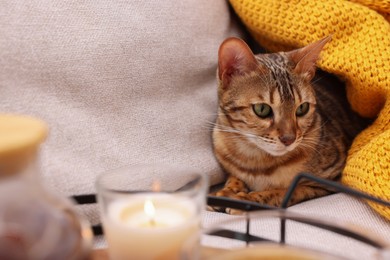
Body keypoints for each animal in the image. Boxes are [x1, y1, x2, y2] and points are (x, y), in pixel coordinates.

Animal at [212, 35, 368, 213]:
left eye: (302, 108)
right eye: (262, 109)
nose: (289, 139)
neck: (256, 162)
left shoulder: (330, 180)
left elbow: (283, 191)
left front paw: (247, 199)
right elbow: (234, 176)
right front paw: (227, 191)